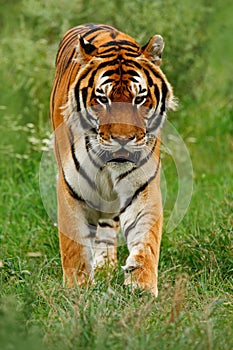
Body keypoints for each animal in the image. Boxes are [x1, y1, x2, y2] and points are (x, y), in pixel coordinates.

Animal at [49, 22, 177, 296]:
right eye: (102, 99)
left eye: (139, 98)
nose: (122, 139)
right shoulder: (71, 188)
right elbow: (74, 247)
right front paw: (78, 290)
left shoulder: (142, 186)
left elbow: (146, 241)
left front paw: (141, 287)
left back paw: (105, 267)